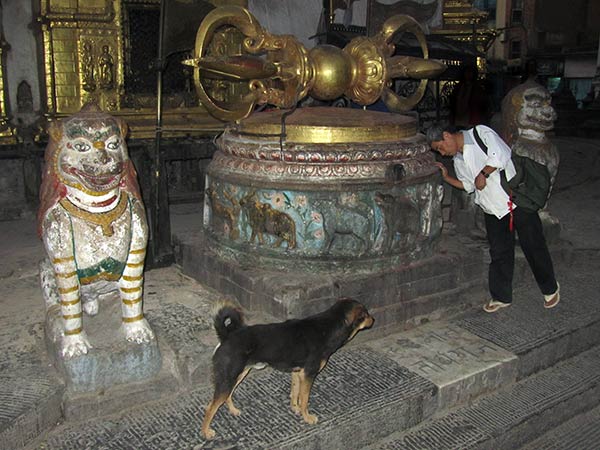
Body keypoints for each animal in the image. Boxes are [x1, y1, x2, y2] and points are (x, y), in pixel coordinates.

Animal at [204, 298, 372, 438]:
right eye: (366, 314)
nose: (374, 319)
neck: (329, 328)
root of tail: (227, 336)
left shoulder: (298, 373)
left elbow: (295, 393)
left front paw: (295, 408)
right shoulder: (309, 374)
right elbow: (304, 399)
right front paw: (307, 417)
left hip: (237, 375)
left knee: (227, 396)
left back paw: (233, 410)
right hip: (228, 377)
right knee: (210, 407)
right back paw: (205, 432)